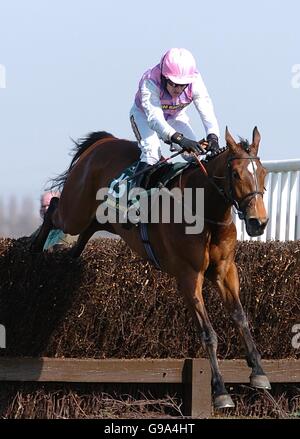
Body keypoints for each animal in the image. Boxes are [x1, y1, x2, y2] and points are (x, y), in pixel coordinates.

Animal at [31, 126, 270, 410]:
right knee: (55, 207)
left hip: (103, 219)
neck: (204, 211)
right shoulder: (189, 277)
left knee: (87, 228)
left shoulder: (225, 271)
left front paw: (259, 372)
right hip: (74, 212)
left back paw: (70, 257)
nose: (259, 222)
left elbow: (241, 317)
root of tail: (104, 141)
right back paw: (34, 249)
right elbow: (208, 334)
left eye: (263, 172)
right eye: (235, 174)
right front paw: (220, 391)